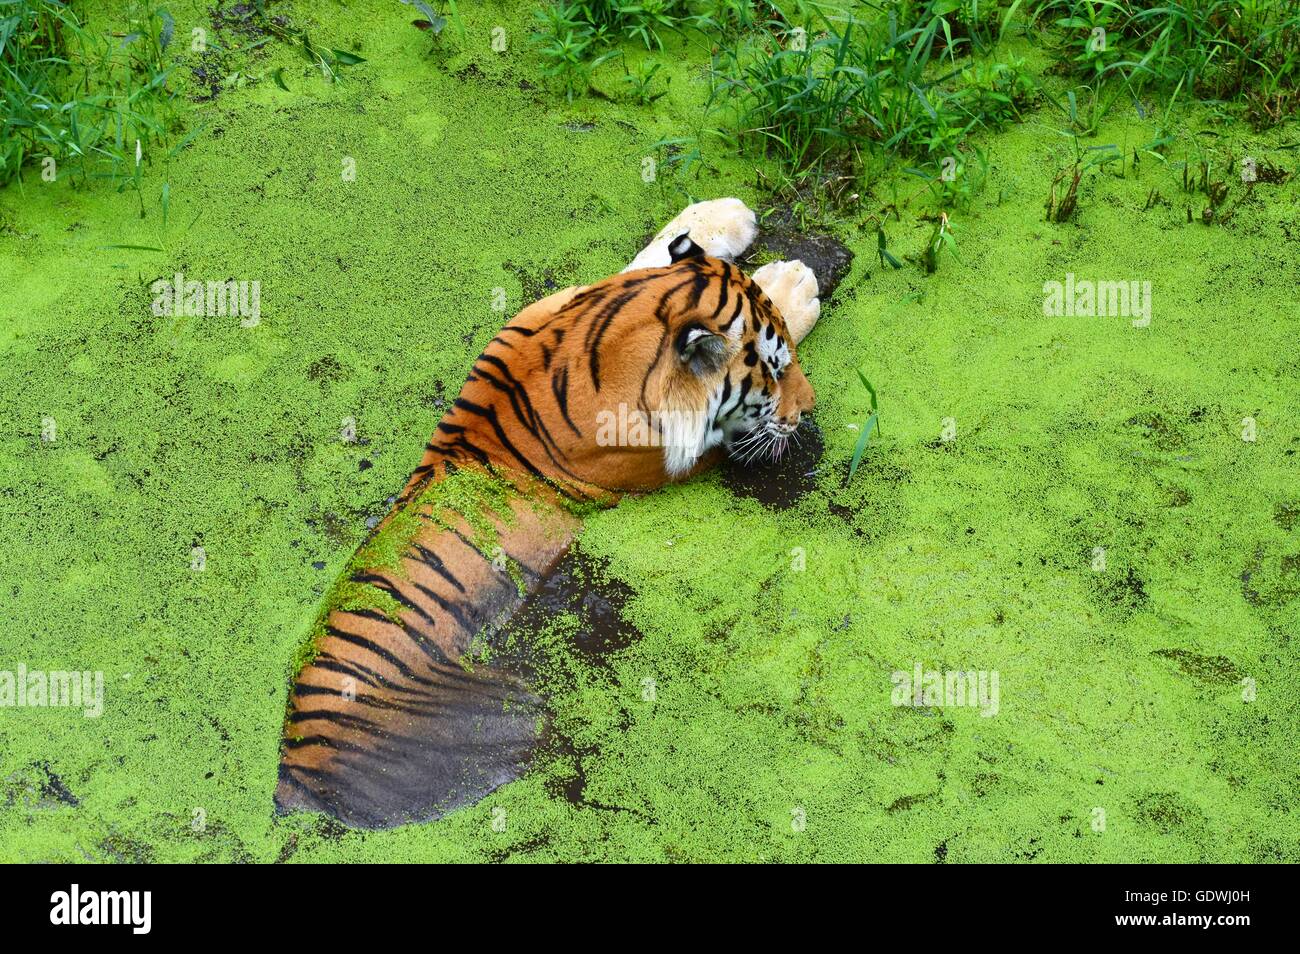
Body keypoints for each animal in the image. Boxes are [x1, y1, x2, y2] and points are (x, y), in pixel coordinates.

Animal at [274, 200, 821, 831]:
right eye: (775, 370)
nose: (810, 407)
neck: (609, 340)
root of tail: (291, 785)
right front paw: (798, 287)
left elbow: (653, 251)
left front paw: (726, 218)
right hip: (508, 722)